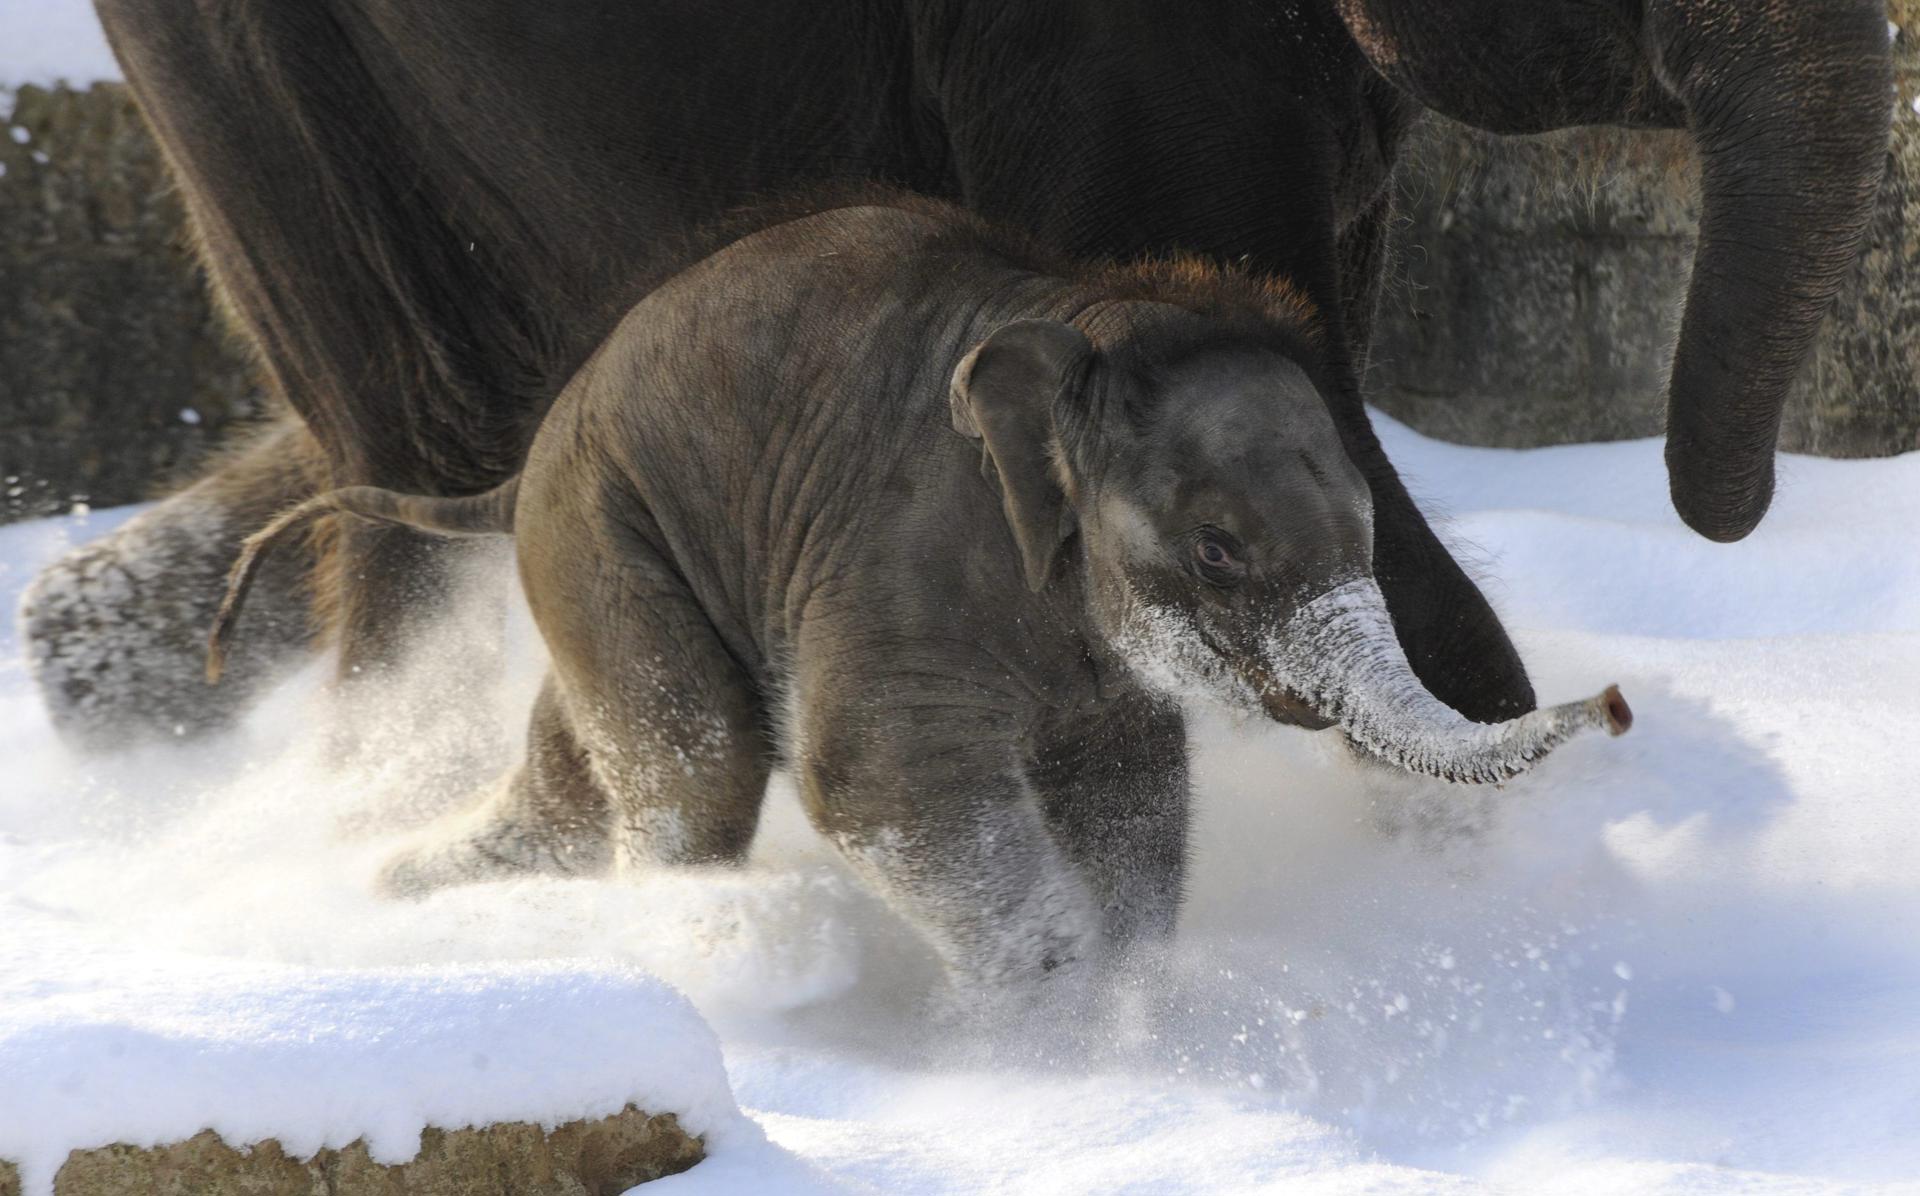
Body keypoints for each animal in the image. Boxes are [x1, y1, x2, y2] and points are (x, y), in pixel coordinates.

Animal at [210, 198, 1620, 990]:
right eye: (1220, 547)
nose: (1614, 704)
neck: (1086, 322)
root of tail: (517, 468)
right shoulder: (904, 561)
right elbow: (879, 784)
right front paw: (1059, 1035)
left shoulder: (1090, 660)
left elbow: (1131, 796)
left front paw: (1133, 1017)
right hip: (600, 531)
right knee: (699, 769)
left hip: (596, 562)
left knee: (579, 778)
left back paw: (399, 895)